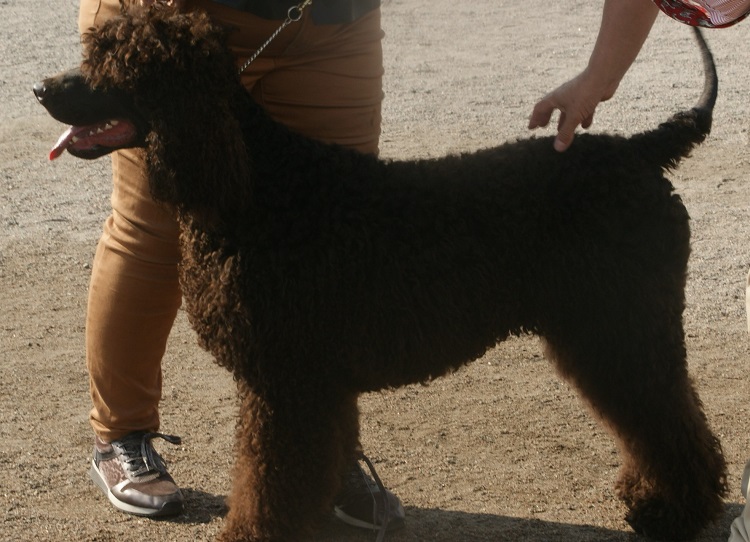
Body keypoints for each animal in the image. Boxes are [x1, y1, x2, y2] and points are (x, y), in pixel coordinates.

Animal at [35, 5, 728, 542]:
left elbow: (267, 477)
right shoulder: (311, 381)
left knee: (669, 419)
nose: (42, 88)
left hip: (620, 324)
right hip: (601, 329)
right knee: (652, 418)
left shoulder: (283, 379)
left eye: (119, 59)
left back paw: (674, 513)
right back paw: (650, 499)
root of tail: (639, 149)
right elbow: (310, 461)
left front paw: (254, 531)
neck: (257, 186)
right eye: (95, 47)